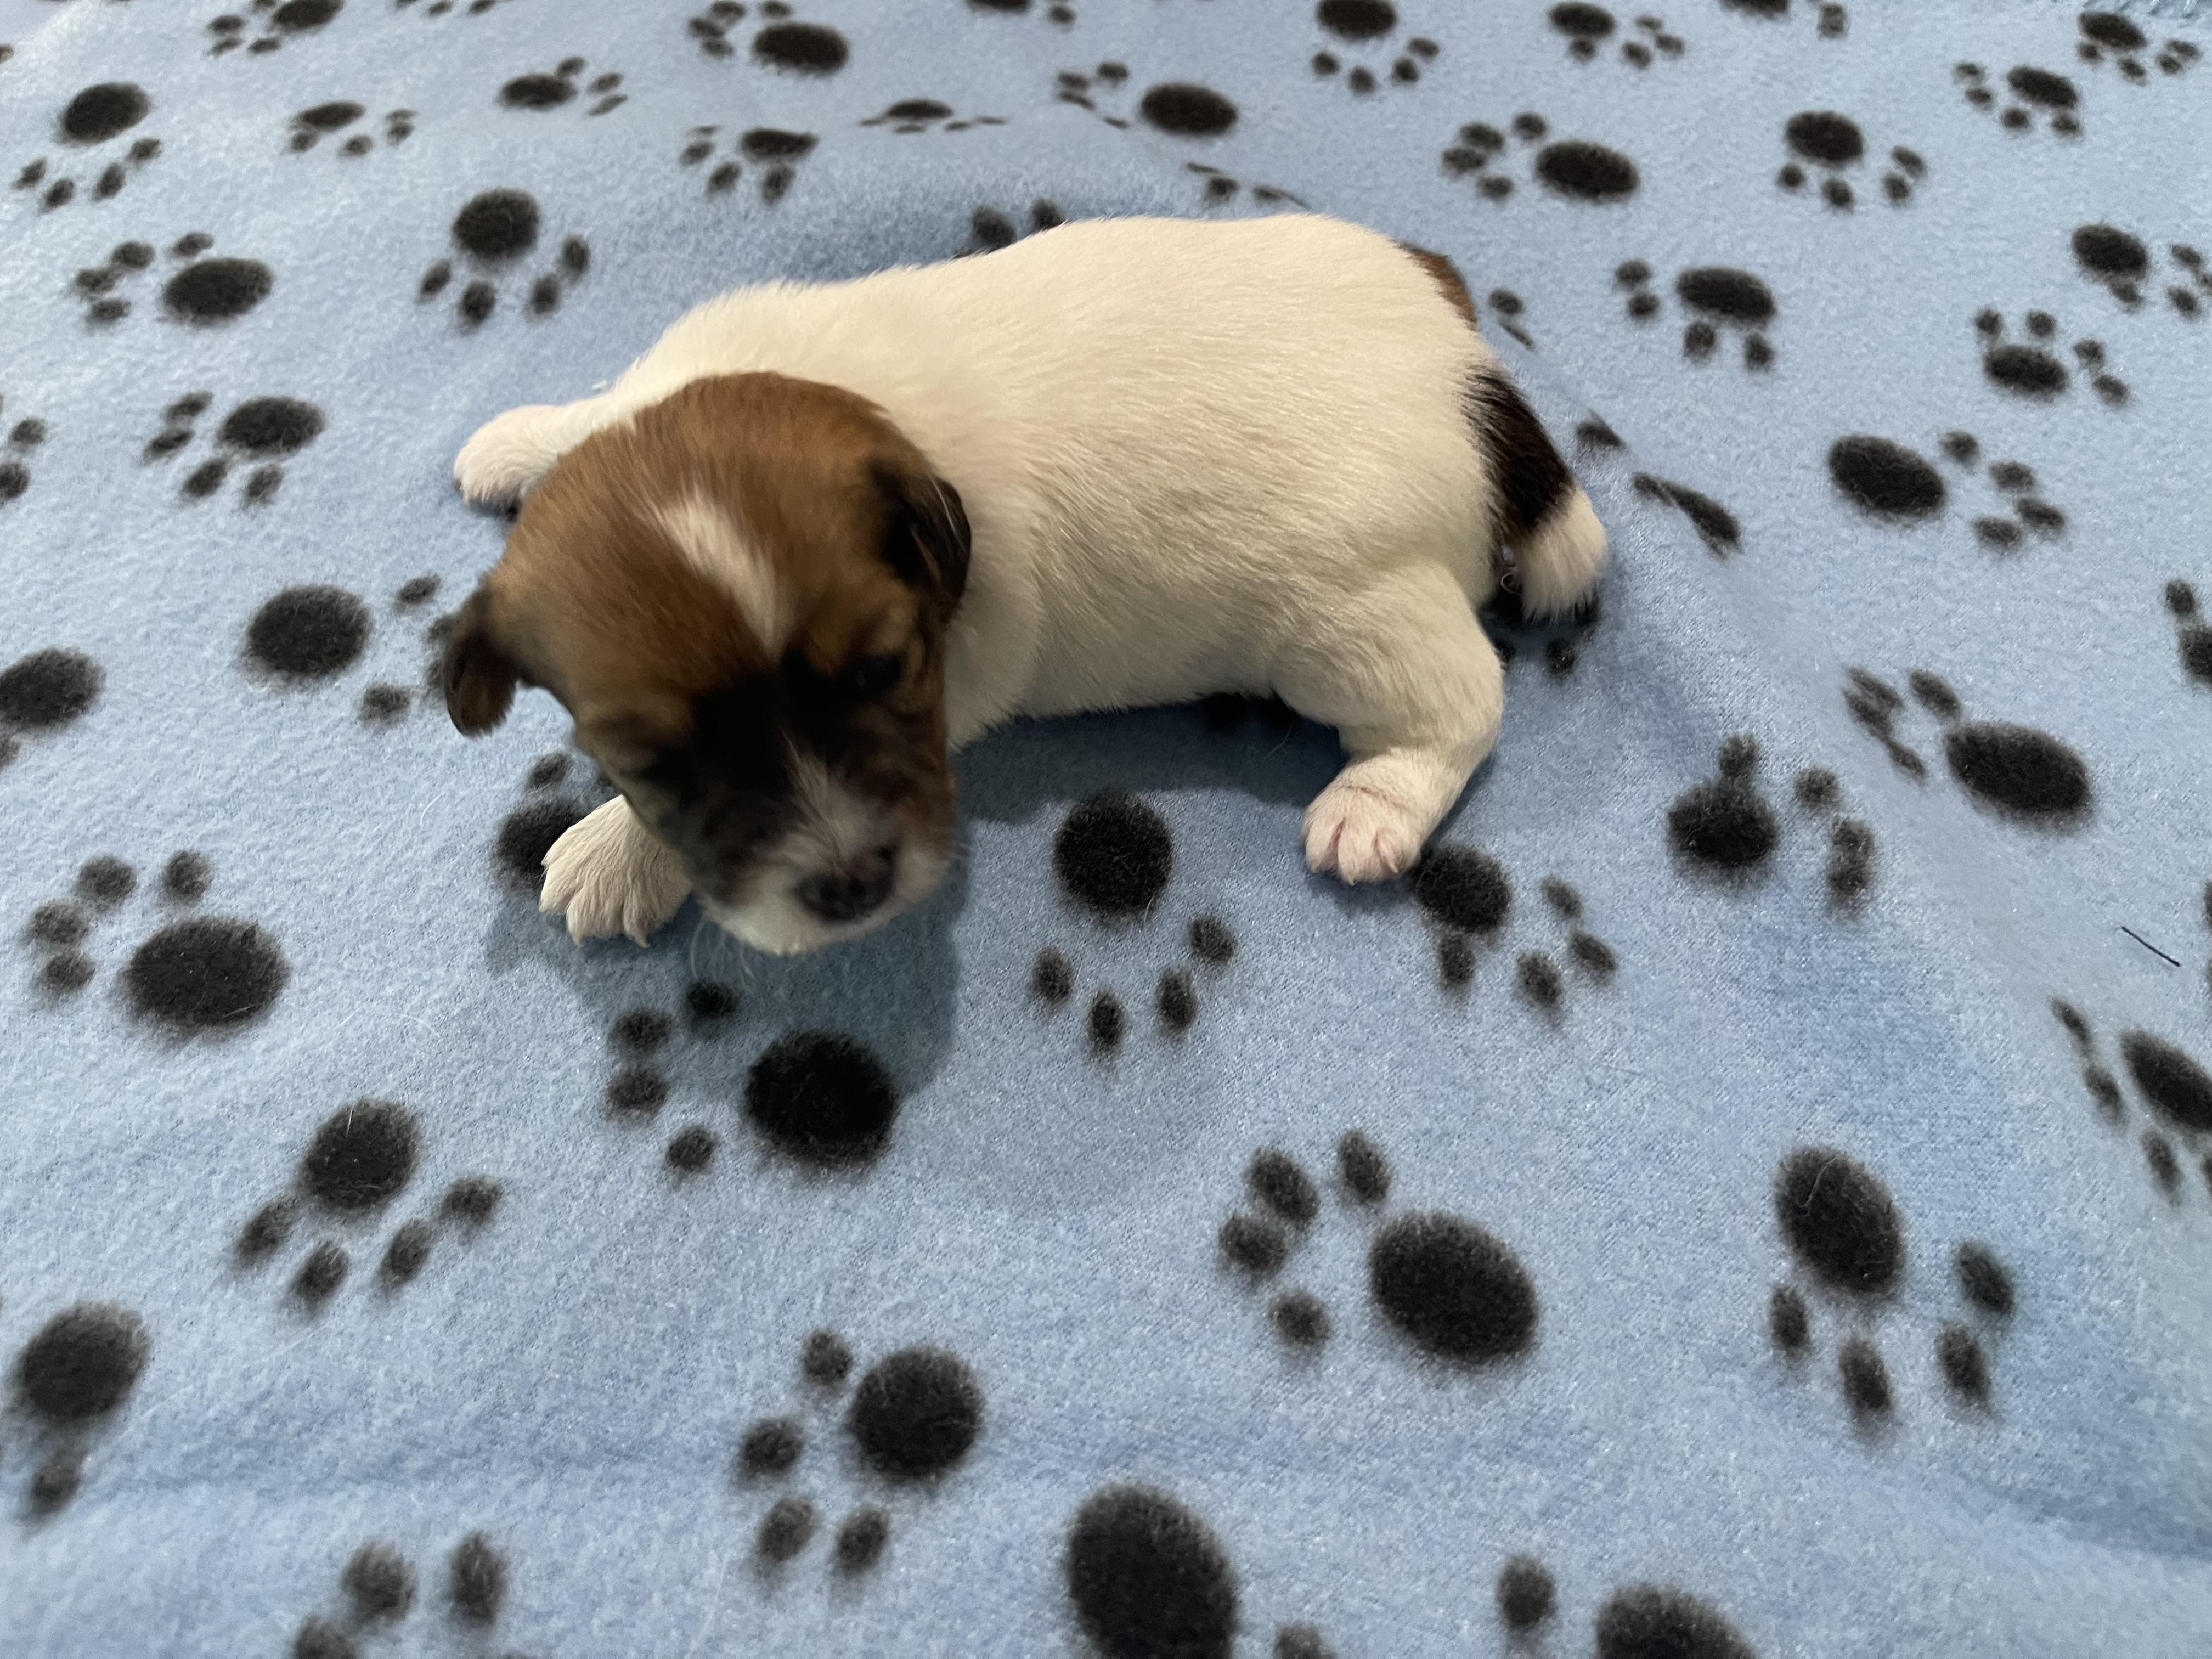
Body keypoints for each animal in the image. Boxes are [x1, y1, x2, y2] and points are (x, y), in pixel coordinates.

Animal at [441, 213, 1607, 956]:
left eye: (882, 672)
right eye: (653, 754)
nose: (853, 887)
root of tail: (1470, 376)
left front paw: (615, 851)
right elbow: (593, 416)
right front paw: (525, 439)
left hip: (1349, 619)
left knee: (1459, 698)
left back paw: (1374, 805)